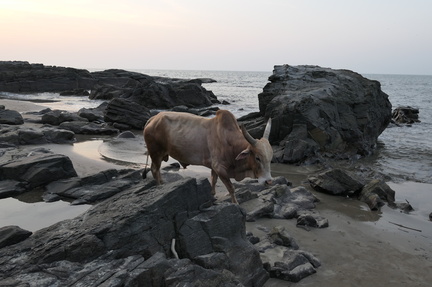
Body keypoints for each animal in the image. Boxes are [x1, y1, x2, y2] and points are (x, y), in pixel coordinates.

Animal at [144, 109, 274, 204]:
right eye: (257, 158)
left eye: (270, 159)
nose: (268, 181)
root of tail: (154, 118)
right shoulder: (219, 168)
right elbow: (231, 187)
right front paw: (235, 203)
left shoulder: (214, 167)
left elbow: (213, 179)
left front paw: (212, 195)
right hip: (156, 153)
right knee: (155, 170)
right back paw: (160, 186)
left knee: (156, 170)